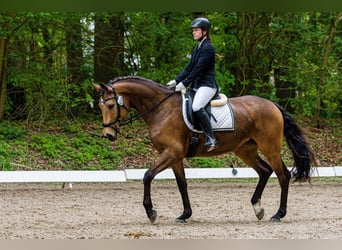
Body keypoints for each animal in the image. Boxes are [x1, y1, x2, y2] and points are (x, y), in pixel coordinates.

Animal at [93, 75, 316, 224]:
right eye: (100, 106)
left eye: (111, 106)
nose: (109, 135)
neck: (161, 109)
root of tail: (273, 105)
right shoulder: (175, 157)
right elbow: (182, 185)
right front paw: (185, 215)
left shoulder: (172, 153)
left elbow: (147, 176)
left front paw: (151, 212)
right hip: (245, 150)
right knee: (265, 171)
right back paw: (257, 208)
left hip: (270, 148)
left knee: (283, 175)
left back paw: (278, 214)